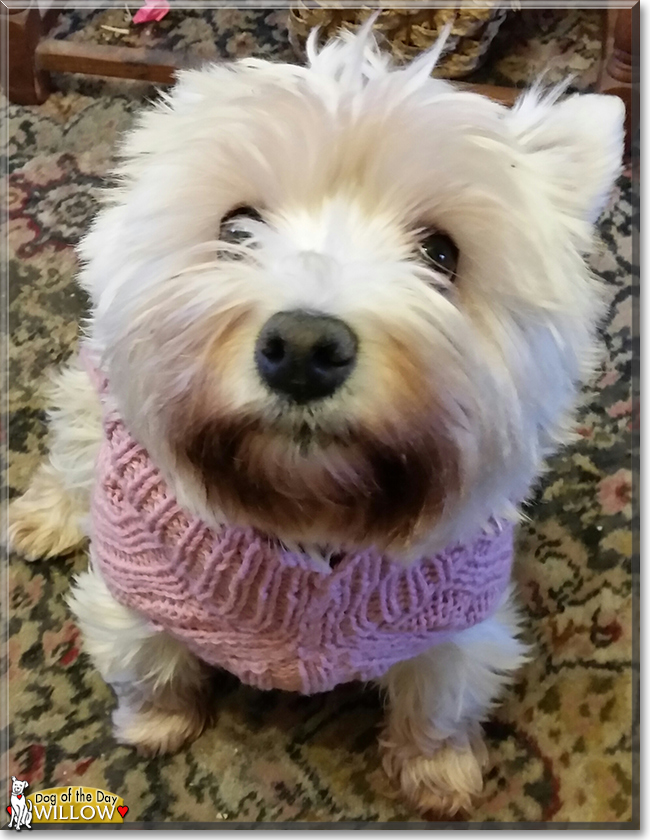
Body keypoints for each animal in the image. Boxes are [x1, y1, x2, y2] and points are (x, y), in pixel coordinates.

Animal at [6, 23, 624, 816]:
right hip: (93, 400)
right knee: (71, 453)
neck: (308, 517)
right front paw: (156, 726)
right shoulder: (132, 589)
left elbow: (440, 698)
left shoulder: (461, 621)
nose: (303, 347)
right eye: (236, 227)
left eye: (442, 252)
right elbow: (149, 662)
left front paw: (440, 774)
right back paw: (41, 517)